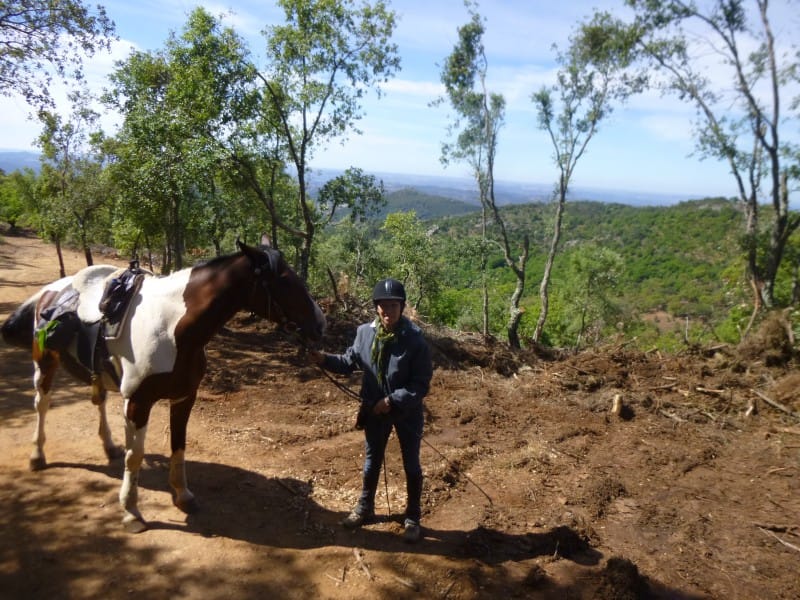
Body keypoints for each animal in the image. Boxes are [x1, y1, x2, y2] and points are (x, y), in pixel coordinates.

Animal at [2, 241, 324, 532]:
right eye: (284, 280)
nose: (320, 324)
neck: (173, 328)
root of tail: (52, 290)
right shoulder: (138, 402)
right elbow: (135, 456)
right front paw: (131, 511)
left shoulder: (184, 398)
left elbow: (178, 447)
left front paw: (183, 495)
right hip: (45, 362)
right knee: (42, 404)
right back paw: (37, 456)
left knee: (99, 400)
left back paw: (109, 446)